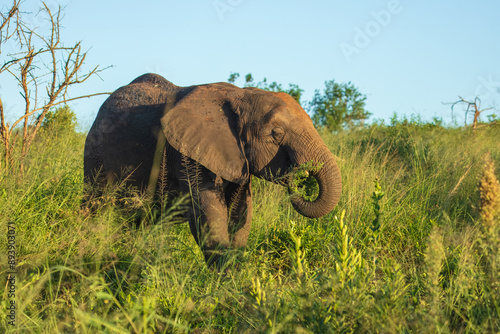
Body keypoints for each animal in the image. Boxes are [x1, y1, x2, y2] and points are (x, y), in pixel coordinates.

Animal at [84, 73, 342, 268]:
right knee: (96, 208)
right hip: (95, 157)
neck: (240, 95)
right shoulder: (187, 153)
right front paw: (223, 284)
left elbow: (240, 212)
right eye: (276, 134)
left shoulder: (237, 156)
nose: (300, 175)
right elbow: (209, 214)